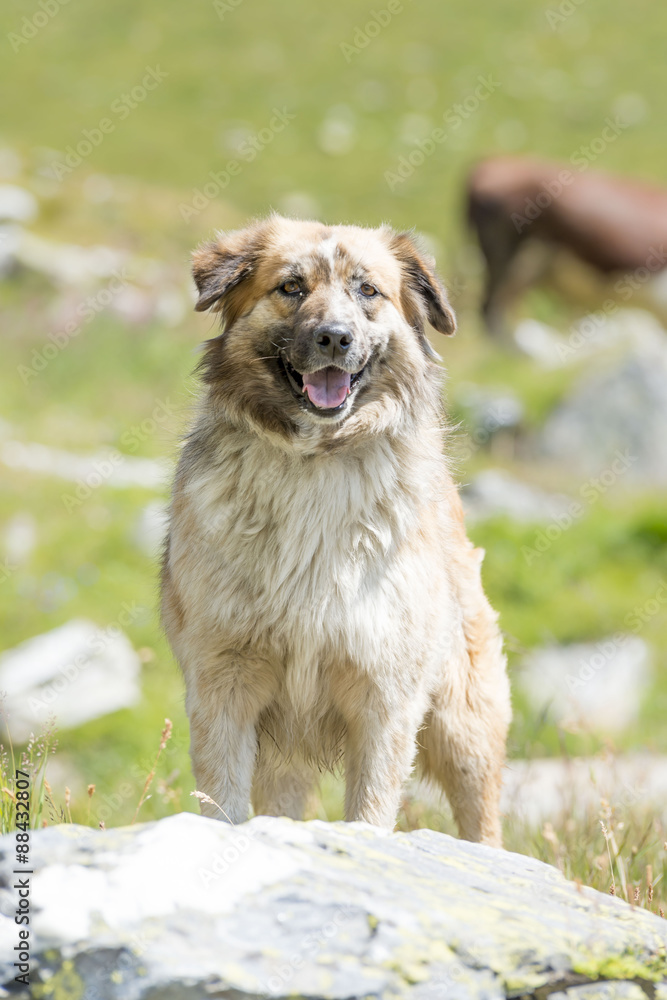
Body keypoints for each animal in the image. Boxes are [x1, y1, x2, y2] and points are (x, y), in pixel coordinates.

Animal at [161, 215, 511, 845]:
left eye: (368, 290)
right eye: (291, 287)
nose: (334, 338)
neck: (315, 462)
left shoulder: (384, 697)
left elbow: (371, 809)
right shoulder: (225, 683)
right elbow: (223, 803)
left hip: (463, 724)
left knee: (483, 818)